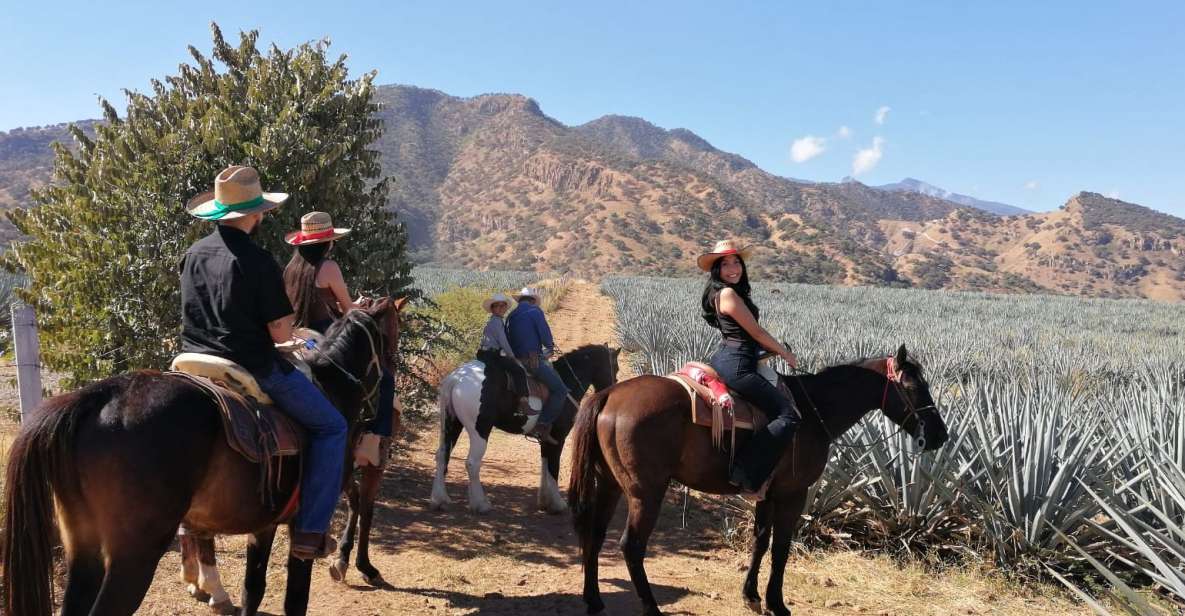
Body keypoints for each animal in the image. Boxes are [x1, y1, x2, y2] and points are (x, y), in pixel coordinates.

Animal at [2, 299, 405, 616]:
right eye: (394, 333)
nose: (385, 408)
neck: (333, 388)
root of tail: (96, 397)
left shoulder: (265, 523)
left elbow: (253, 589)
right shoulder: (304, 519)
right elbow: (296, 597)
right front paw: (355, 564)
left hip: (83, 551)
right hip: (132, 557)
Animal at [433, 345, 620, 514]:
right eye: (616, 368)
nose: (611, 391)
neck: (566, 382)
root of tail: (457, 378)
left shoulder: (546, 438)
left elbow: (545, 465)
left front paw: (544, 501)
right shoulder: (558, 437)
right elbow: (553, 467)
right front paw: (557, 504)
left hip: (452, 424)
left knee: (442, 455)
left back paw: (440, 500)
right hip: (479, 430)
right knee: (472, 463)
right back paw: (481, 504)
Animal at [568, 343, 947, 611]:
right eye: (915, 387)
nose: (940, 435)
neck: (813, 411)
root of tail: (609, 395)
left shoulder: (766, 492)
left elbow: (760, 542)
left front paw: (751, 596)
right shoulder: (794, 493)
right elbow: (781, 548)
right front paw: (777, 603)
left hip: (611, 484)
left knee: (595, 533)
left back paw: (593, 599)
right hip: (645, 492)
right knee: (631, 546)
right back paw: (650, 608)